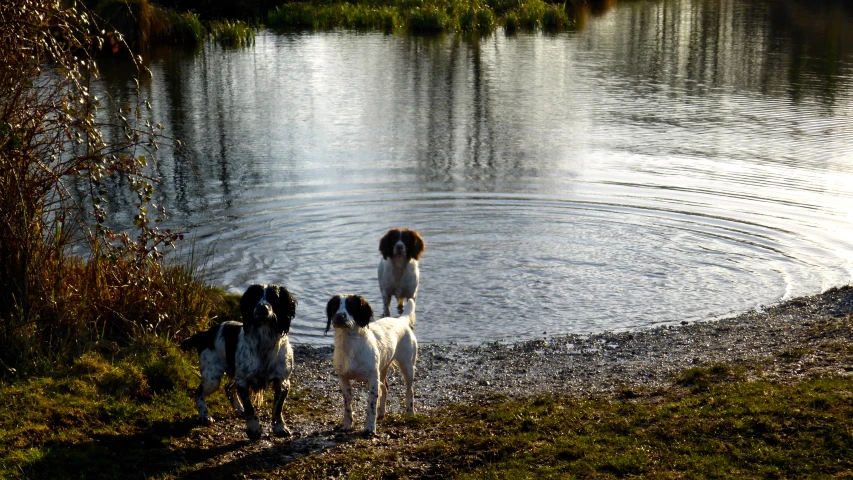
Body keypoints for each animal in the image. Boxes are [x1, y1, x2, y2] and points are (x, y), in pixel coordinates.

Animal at [180, 284, 296, 440]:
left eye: (273, 297)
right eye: (255, 296)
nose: (262, 308)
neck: (264, 341)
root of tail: (206, 333)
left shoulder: (282, 381)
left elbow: (278, 409)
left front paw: (280, 428)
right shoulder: (243, 380)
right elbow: (251, 409)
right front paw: (254, 430)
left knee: (228, 388)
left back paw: (239, 410)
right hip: (212, 379)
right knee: (199, 393)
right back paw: (205, 416)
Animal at [322, 292, 416, 436]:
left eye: (351, 306)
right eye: (334, 306)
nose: (339, 316)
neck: (350, 344)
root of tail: (400, 320)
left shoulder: (372, 379)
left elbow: (371, 406)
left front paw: (370, 428)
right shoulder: (343, 379)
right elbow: (347, 406)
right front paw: (347, 425)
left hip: (407, 367)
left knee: (410, 391)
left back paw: (410, 413)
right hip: (382, 369)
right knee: (385, 388)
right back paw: (381, 413)